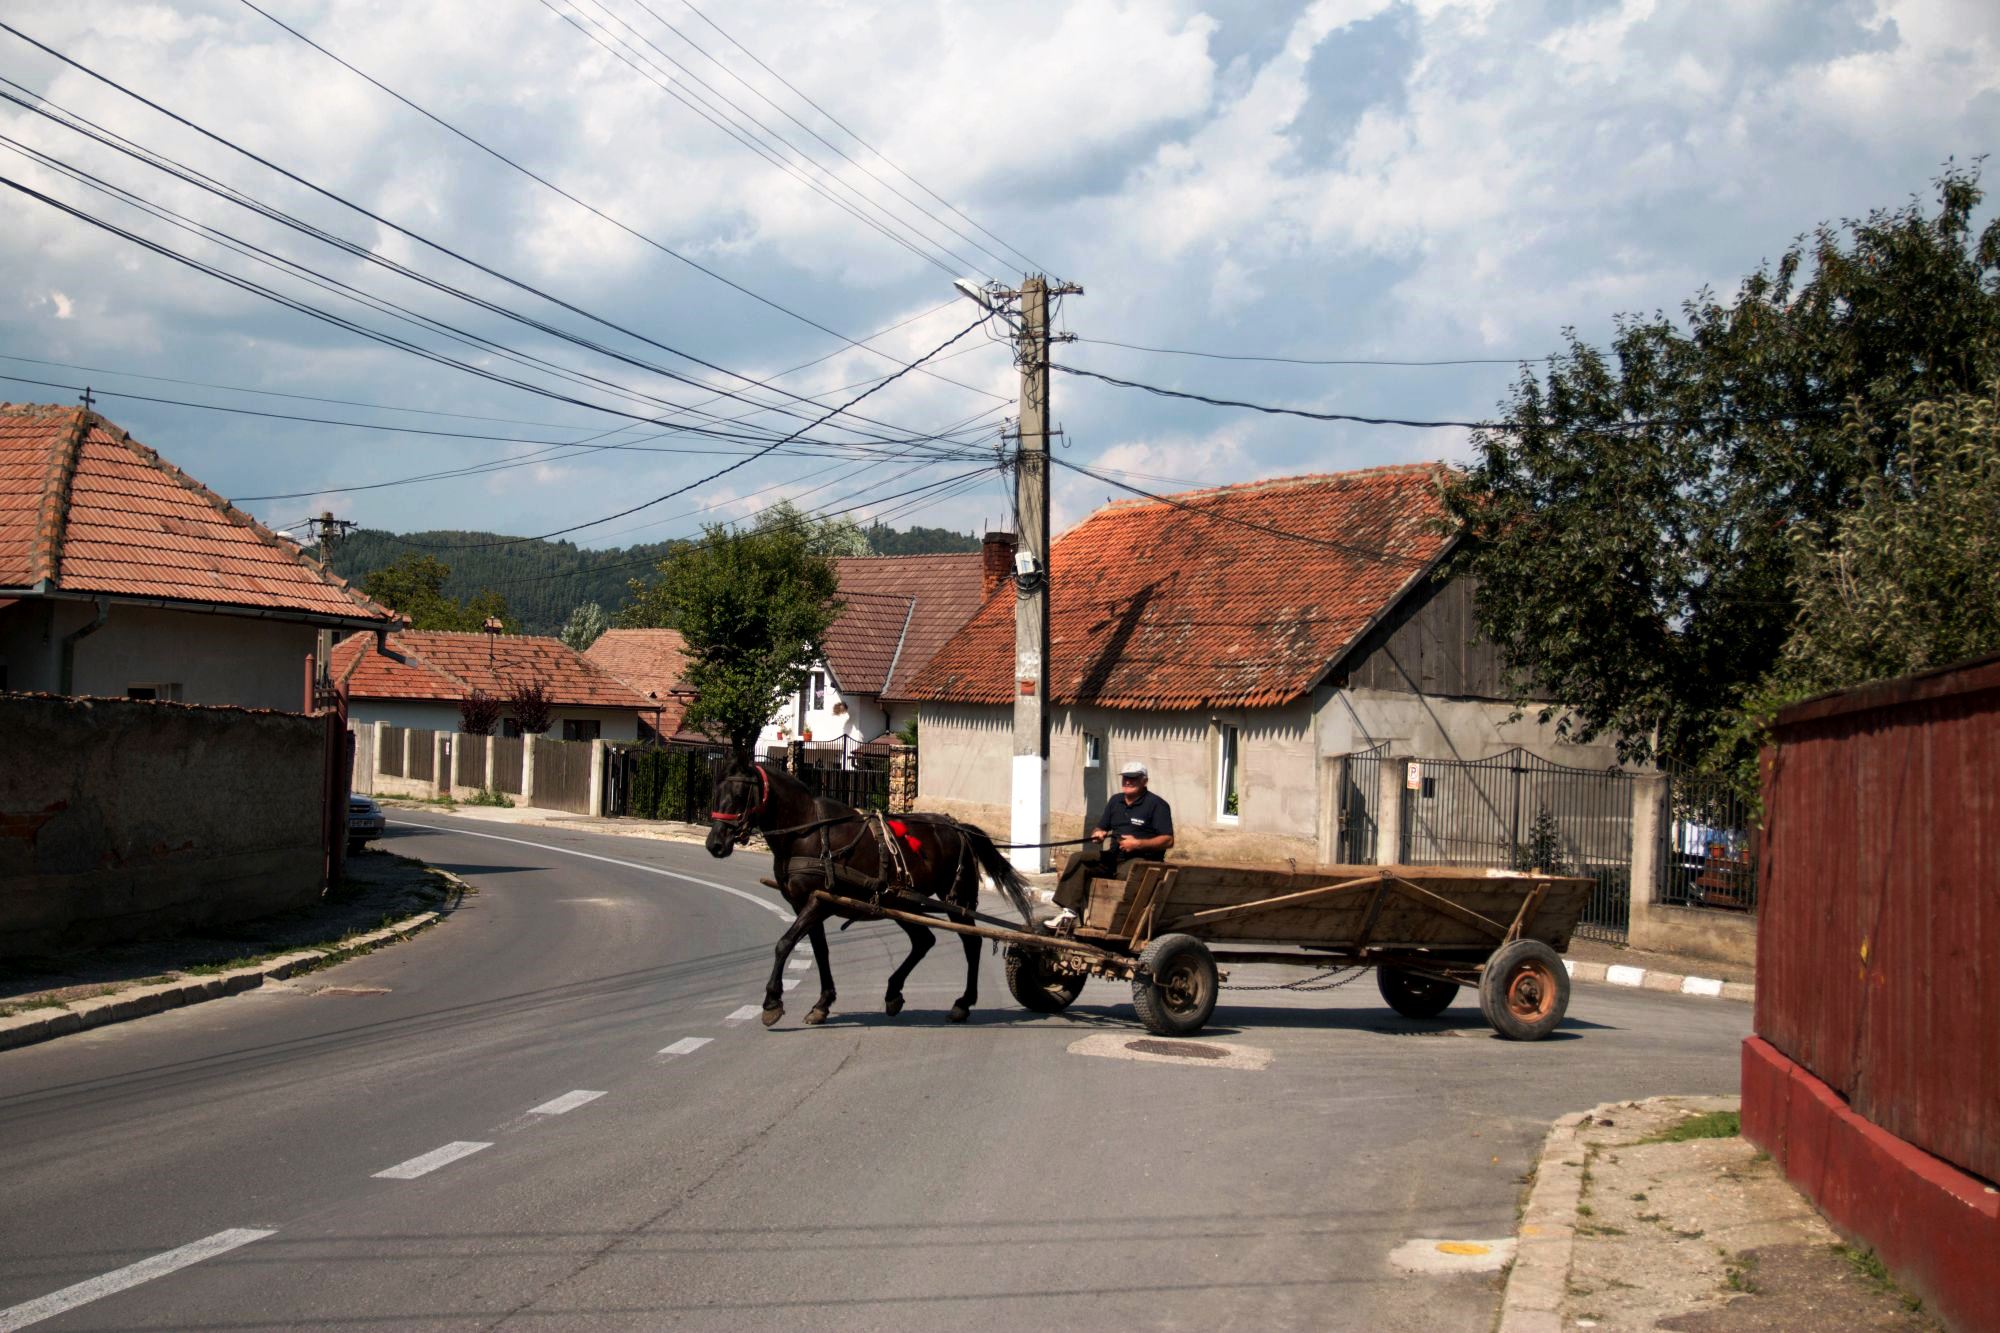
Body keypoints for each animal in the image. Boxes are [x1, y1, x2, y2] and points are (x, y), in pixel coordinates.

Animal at [704, 758, 1035, 1027]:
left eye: (738, 796)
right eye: (716, 792)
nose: (715, 844)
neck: (807, 831)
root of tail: (957, 826)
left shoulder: (817, 903)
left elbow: (784, 944)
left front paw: (772, 1002)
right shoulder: (806, 904)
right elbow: (820, 950)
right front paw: (822, 1003)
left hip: (957, 898)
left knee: (971, 942)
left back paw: (962, 1003)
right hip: (903, 902)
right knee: (924, 941)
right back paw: (893, 992)